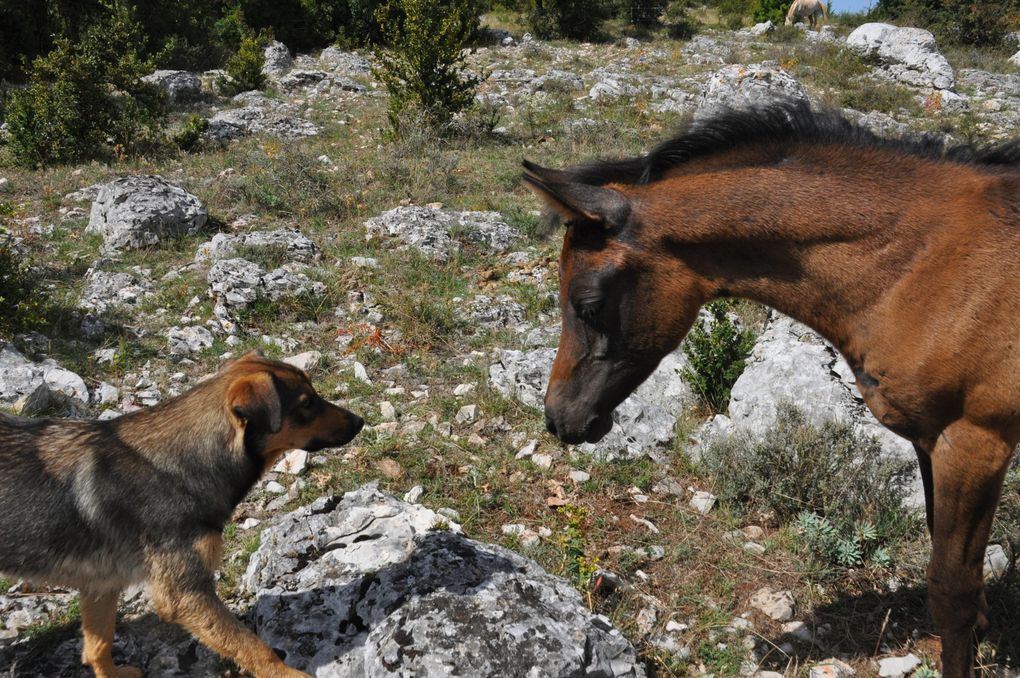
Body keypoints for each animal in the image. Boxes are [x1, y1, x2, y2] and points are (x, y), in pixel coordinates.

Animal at [0, 350, 365, 672]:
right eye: (306, 403)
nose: (360, 421)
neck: (181, 464)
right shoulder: (184, 594)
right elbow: (253, 648)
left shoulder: (100, 583)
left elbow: (98, 647)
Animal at [526, 101, 1020, 676]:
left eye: (586, 303)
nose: (559, 417)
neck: (926, 265)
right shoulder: (930, 441)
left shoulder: (974, 442)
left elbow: (952, 594)